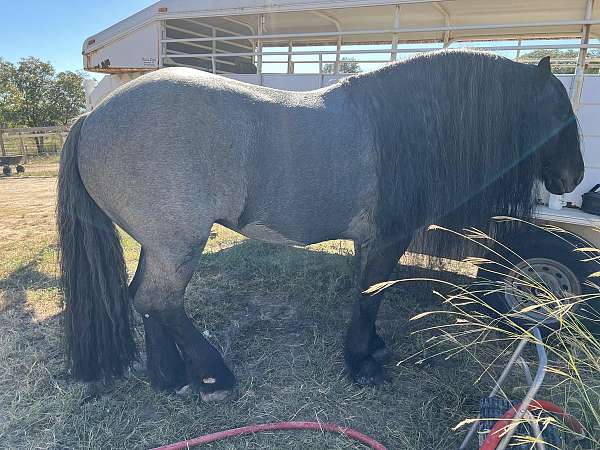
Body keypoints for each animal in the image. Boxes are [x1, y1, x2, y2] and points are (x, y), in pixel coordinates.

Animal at [56, 50, 580, 400]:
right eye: (558, 109)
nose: (573, 177)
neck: (402, 126)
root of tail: (90, 118)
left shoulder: (373, 243)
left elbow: (370, 294)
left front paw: (371, 349)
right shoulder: (386, 239)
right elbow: (369, 295)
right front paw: (362, 363)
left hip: (159, 243)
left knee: (146, 299)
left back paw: (169, 379)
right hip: (179, 242)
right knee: (159, 301)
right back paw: (213, 377)